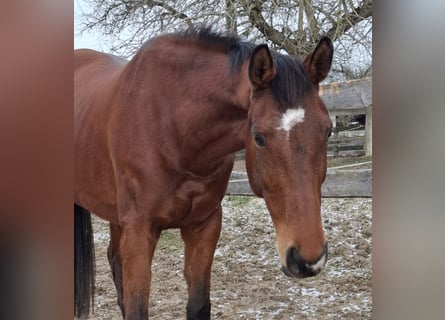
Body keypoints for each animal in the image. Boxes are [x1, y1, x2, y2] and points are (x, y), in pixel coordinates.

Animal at [74, 27, 332, 320]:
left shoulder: (204, 226)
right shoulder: (139, 231)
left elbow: (198, 304)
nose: (308, 259)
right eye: (259, 137)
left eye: (328, 130)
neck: (173, 126)